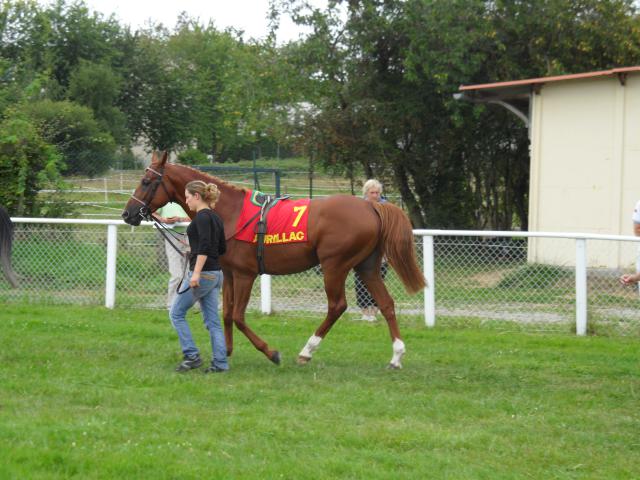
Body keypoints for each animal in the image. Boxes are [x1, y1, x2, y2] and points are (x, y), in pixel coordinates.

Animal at [124, 154, 424, 368]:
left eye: (147, 182)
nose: (128, 213)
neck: (228, 210)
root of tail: (372, 205)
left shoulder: (246, 274)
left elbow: (238, 316)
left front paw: (270, 352)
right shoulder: (230, 273)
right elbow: (226, 314)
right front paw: (226, 351)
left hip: (335, 265)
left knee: (337, 306)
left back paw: (307, 351)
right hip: (367, 266)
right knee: (386, 303)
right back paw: (396, 356)